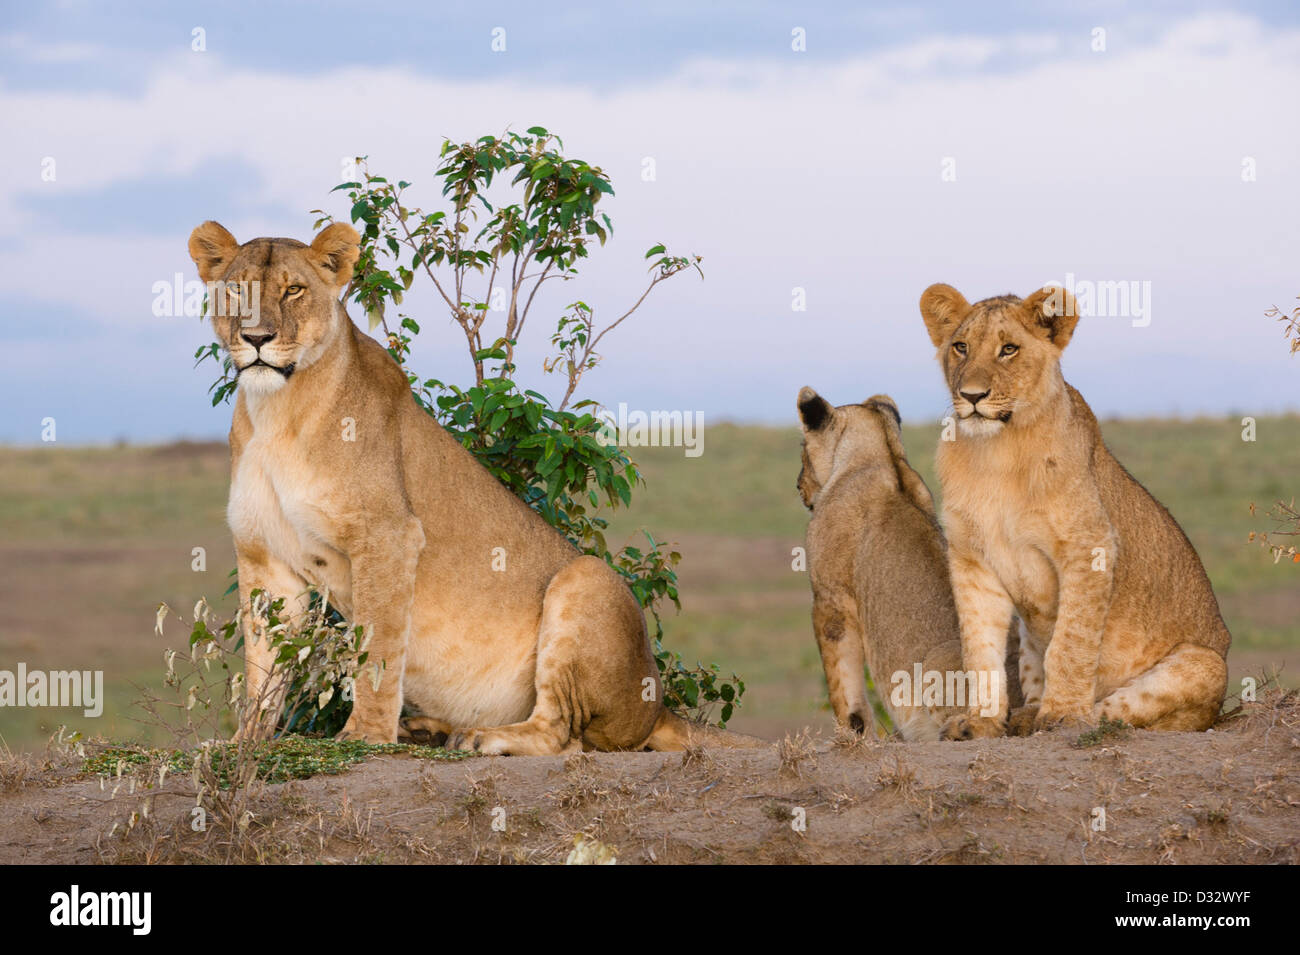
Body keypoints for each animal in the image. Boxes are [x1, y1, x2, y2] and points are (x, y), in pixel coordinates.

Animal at [187, 220, 762, 753]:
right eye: (237, 290)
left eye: (293, 290)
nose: (256, 339)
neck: (276, 412)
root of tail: (659, 706)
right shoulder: (264, 557)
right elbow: (263, 669)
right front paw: (244, 743)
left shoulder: (389, 536)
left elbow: (377, 649)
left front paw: (364, 736)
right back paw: (430, 728)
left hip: (588, 579)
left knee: (563, 736)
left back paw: (482, 738)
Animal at [796, 387, 1021, 741]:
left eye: (801, 448)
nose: (798, 485)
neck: (881, 451)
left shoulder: (831, 599)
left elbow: (842, 686)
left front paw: (852, 734)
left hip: (935, 662)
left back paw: (960, 729)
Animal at [918, 284, 1231, 738]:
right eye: (961, 347)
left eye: (1008, 349)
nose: (971, 396)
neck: (998, 452)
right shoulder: (972, 560)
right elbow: (979, 649)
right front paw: (980, 721)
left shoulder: (1090, 547)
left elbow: (1071, 642)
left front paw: (1063, 713)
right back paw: (1025, 714)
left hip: (1205, 665)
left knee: (1115, 713)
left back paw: (1054, 719)